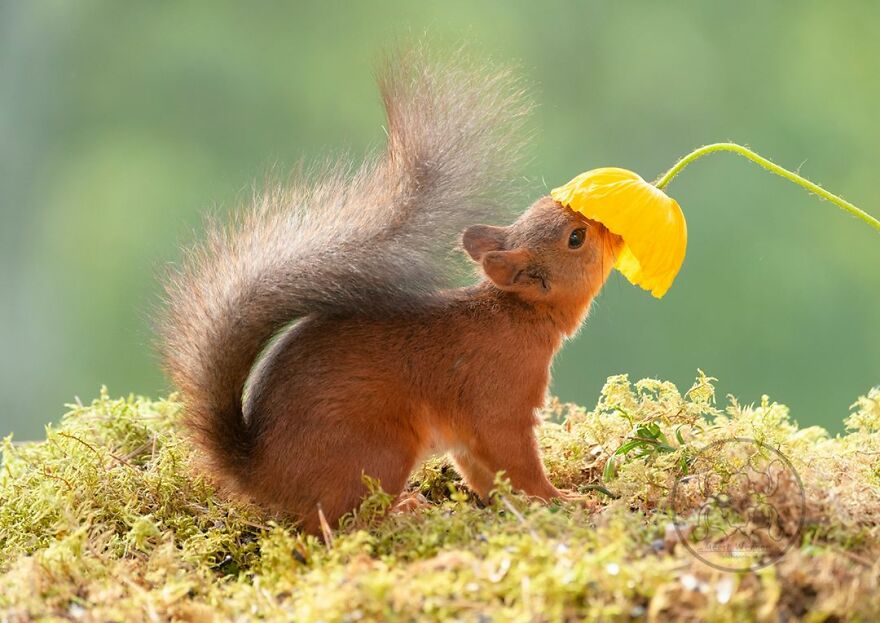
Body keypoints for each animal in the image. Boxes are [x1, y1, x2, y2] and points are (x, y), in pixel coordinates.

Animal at [159, 48, 621, 535]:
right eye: (576, 238)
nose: (609, 224)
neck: (517, 317)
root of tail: (261, 473)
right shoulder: (500, 399)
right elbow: (516, 460)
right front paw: (563, 500)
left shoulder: (470, 436)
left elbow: (482, 471)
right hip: (381, 448)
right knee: (339, 521)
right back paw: (402, 513)